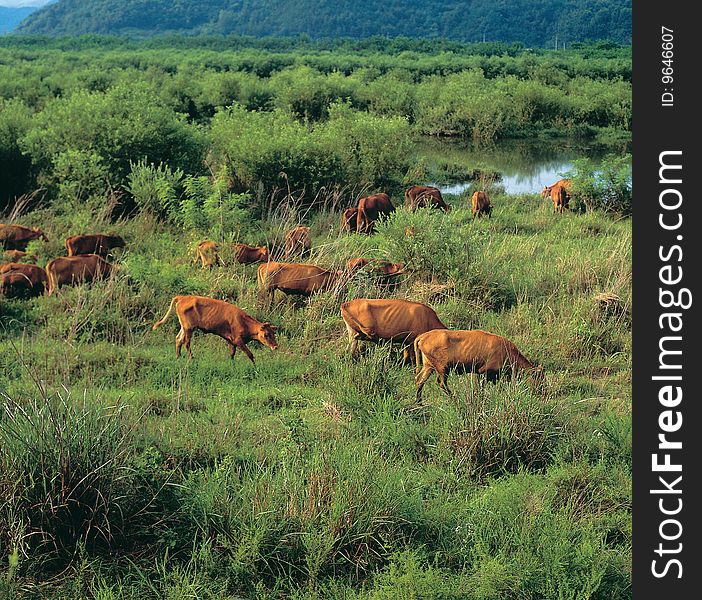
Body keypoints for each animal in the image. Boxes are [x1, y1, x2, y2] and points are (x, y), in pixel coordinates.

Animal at [416, 330, 548, 400]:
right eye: (538, 378)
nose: (544, 392)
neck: (507, 351)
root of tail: (423, 336)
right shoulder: (484, 372)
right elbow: (481, 389)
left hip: (428, 367)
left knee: (419, 380)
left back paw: (419, 403)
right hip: (443, 369)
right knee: (441, 383)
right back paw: (455, 399)